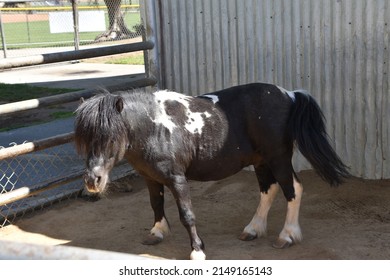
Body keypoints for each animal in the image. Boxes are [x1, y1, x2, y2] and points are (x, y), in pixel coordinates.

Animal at [74, 83, 348, 260]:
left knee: (293, 189)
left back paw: (287, 236)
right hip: (261, 162)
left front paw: (197, 250)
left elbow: (187, 215)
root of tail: (289, 95)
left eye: (110, 137)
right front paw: (157, 232)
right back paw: (253, 229)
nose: (92, 181)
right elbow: (155, 204)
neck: (155, 128)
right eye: (84, 139)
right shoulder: (150, 177)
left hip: (278, 159)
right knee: (268, 190)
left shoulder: (177, 179)